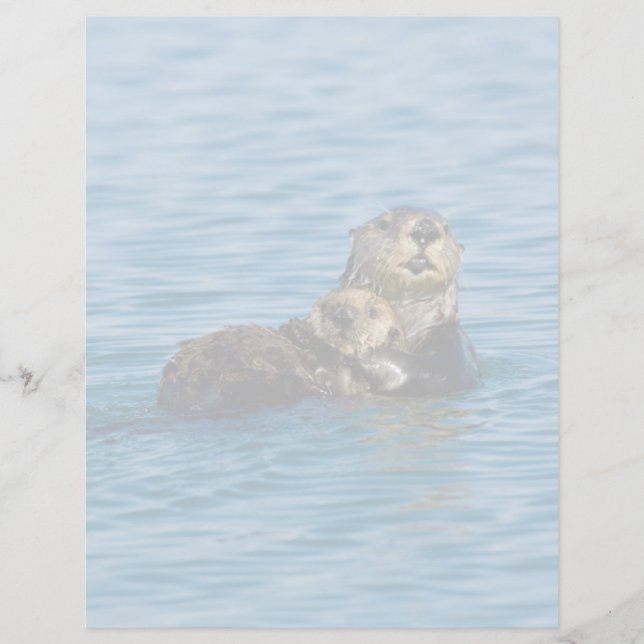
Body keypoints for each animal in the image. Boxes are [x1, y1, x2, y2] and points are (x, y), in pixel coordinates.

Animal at [340, 206, 480, 395]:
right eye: (383, 224)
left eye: (446, 228)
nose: (425, 229)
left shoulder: (454, 346)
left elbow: (436, 372)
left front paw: (362, 353)